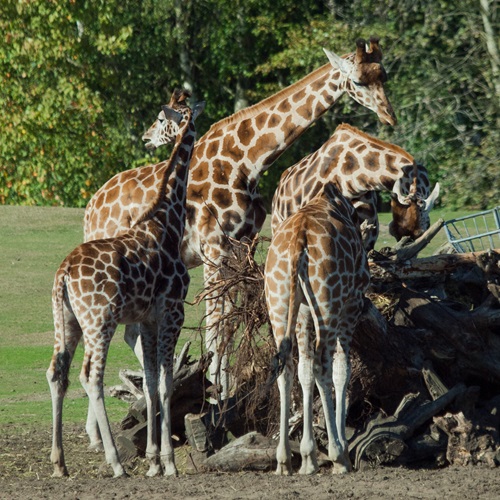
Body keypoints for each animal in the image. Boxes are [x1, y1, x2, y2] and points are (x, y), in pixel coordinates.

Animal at [45, 92, 205, 478]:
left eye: (160, 119)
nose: (147, 137)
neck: (168, 219)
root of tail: (64, 273)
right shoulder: (172, 311)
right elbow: (164, 383)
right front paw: (168, 463)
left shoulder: (147, 318)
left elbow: (149, 382)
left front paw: (153, 460)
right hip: (99, 320)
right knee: (90, 376)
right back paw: (115, 462)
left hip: (66, 320)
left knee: (57, 372)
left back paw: (60, 463)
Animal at [85, 36, 398, 406]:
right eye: (360, 82)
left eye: (384, 75)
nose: (389, 116)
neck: (247, 161)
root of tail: (91, 208)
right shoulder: (213, 248)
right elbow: (215, 323)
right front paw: (214, 392)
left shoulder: (239, 247)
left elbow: (228, 324)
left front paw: (222, 386)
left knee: (130, 331)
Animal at [264, 183, 370, 476]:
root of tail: (298, 243)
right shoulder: (351, 305)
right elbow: (341, 371)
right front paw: (341, 448)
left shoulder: (302, 312)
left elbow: (304, 370)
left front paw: (308, 457)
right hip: (328, 303)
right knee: (323, 363)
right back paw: (338, 456)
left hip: (278, 304)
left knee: (285, 367)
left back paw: (283, 461)